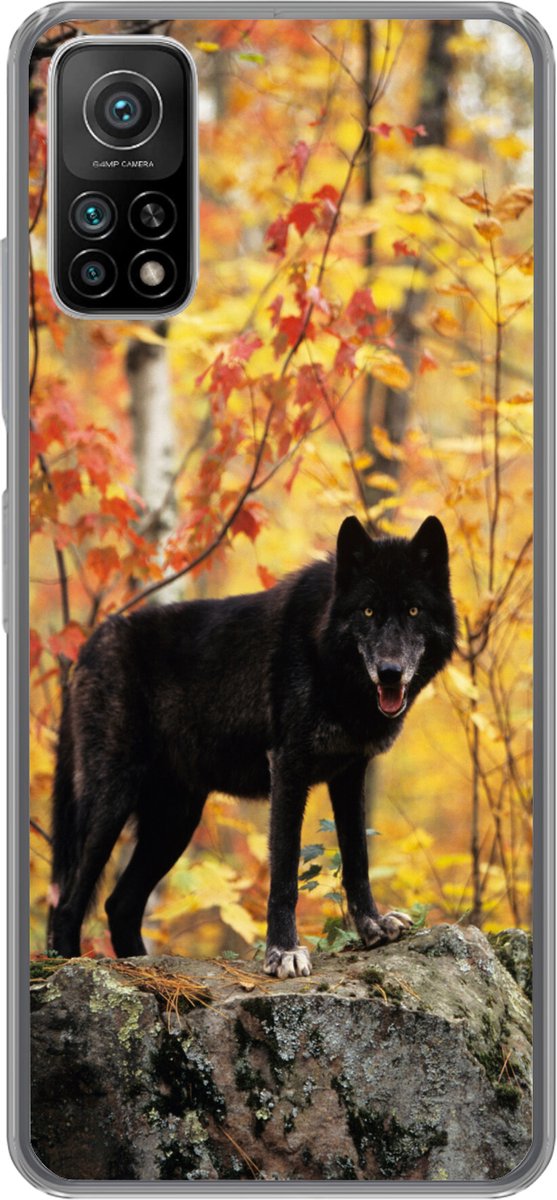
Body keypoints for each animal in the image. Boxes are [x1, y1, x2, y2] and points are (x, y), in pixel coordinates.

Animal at [49, 514, 457, 977]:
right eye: (368, 610)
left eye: (413, 610)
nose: (389, 673)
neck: (326, 659)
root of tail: (87, 647)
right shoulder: (288, 767)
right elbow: (284, 873)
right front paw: (283, 952)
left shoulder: (350, 774)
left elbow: (357, 857)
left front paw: (372, 925)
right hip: (111, 804)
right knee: (68, 905)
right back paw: (69, 966)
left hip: (175, 821)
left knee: (119, 905)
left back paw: (147, 967)